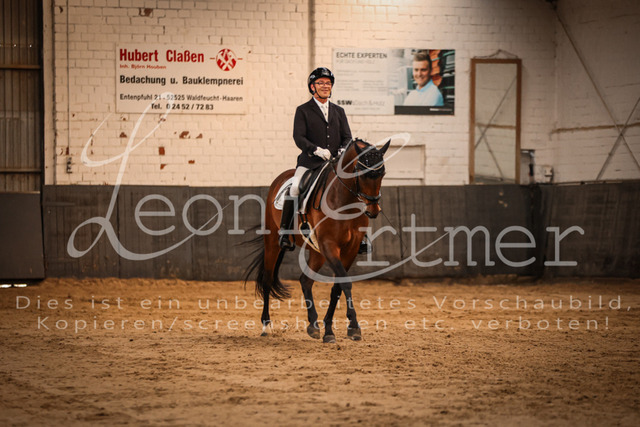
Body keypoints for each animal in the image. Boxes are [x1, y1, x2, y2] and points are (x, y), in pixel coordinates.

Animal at [244, 138, 390, 343]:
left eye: (382, 173)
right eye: (361, 174)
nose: (374, 210)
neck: (344, 201)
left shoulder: (350, 249)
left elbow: (337, 287)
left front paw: (330, 329)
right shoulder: (329, 245)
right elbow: (345, 283)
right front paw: (353, 326)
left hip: (316, 251)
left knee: (305, 281)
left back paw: (313, 325)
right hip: (273, 241)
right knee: (267, 279)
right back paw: (266, 325)